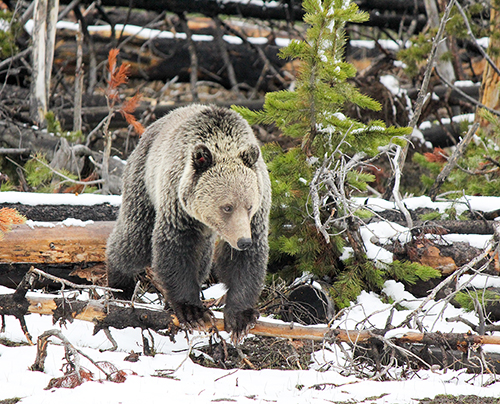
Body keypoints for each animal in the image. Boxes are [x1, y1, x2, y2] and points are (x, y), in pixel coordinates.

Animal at [105, 104, 270, 340]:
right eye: (227, 207)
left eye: (249, 206)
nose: (243, 241)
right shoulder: (178, 207)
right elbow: (176, 251)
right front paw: (192, 311)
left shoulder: (257, 213)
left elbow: (244, 262)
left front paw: (241, 317)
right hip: (143, 182)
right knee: (134, 241)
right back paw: (120, 288)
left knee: (201, 260)